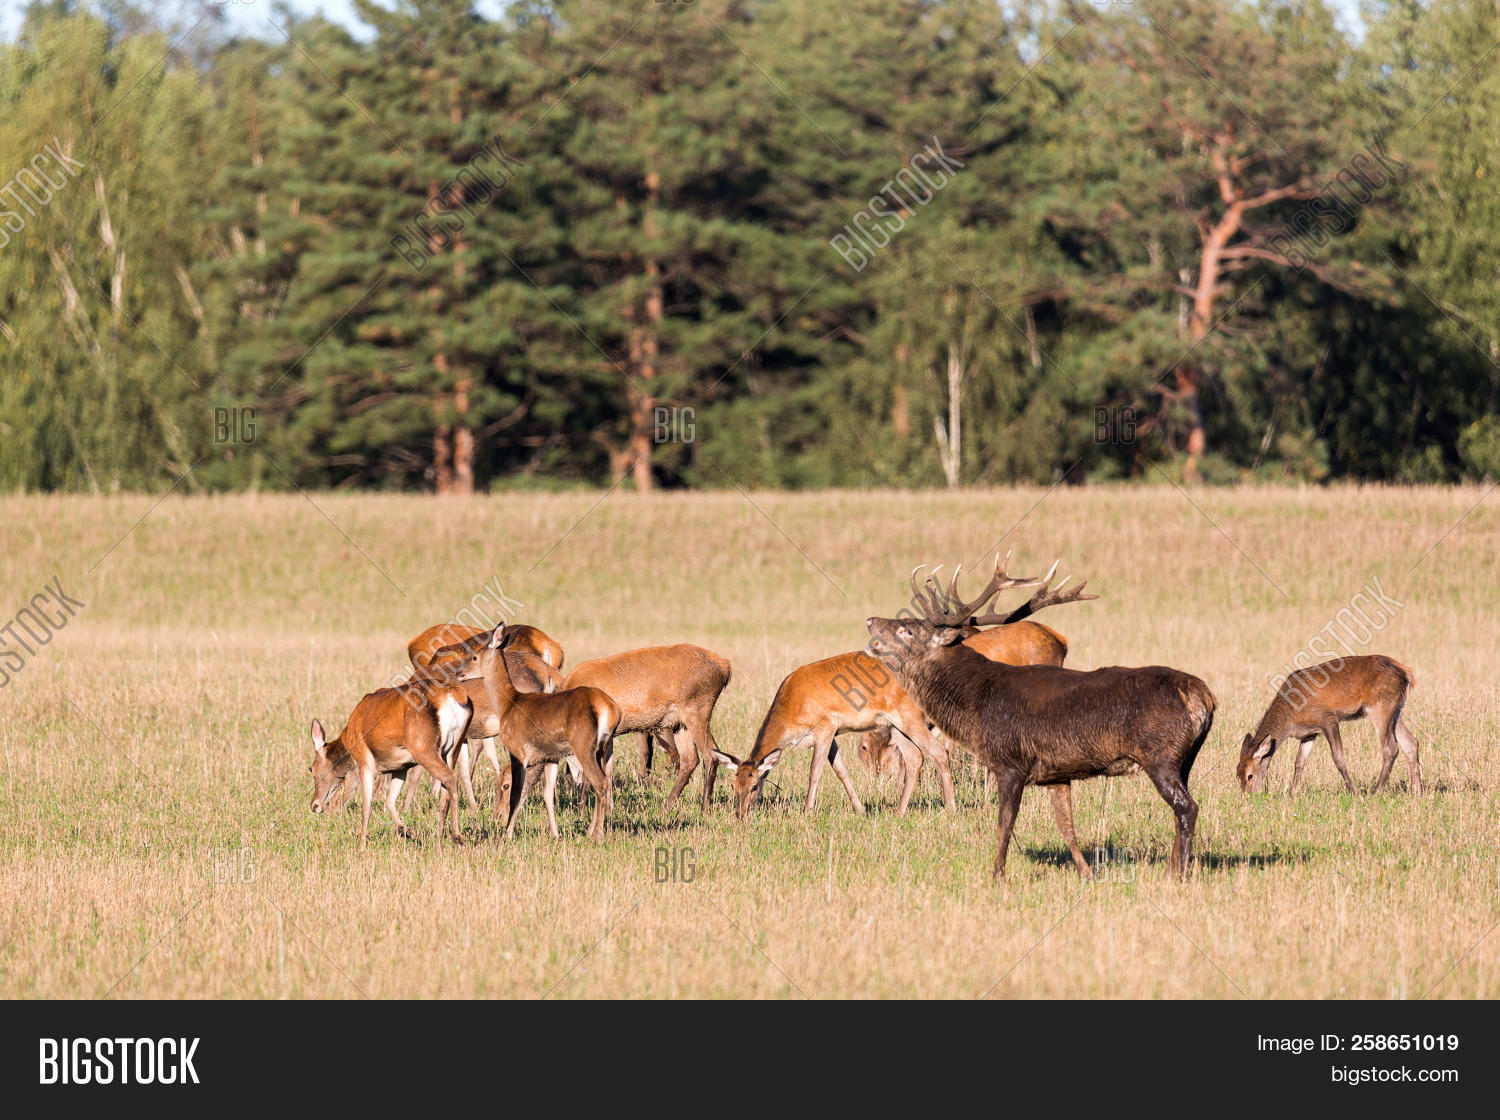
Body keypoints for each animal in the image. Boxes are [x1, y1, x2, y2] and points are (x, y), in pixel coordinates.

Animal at [307, 679, 472, 849]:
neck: (348, 740)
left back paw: (457, 837)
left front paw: (361, 847)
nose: (314, 805)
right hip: (454, 747)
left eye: (311, 768)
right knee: (445, 791)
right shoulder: (401, 767)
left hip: (423, 748)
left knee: (451, 777)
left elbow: (367, 806)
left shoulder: (364, 760)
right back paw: (439, 842)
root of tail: (455, 696)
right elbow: (390, 801)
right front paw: (407, 831)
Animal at [455, 625, 621, 840]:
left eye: (474, 657)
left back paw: (596, 834)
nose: (458, 673)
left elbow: (517, 793)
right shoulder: (551, 757)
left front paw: (506, 835)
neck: (508, 704)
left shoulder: (518, 751)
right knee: (603, 780)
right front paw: (555, 834)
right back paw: (592, 830)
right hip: (603, 747)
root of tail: (610, 709)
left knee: (599, 782)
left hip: (584, 747)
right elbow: (547, 794)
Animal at [563, 645, 732, 811]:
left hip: (697, 711)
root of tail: (725, 667)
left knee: (710, 755)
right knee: (690, 759)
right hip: (680, 724)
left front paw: (582, 809)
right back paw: (666, 807)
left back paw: (703, 808)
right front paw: (608, 810)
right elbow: (608, 771)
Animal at [865, 552, 1215, 880]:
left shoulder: (1011, 762)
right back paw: (1171, 868)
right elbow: (1067, 826)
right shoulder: (1057, 773)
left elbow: (1005, 824)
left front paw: (997, 875)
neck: (975, 704)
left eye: (907, 629)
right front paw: (1086, 872)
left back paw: (1178, 874)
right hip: (1184, 759)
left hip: (1160, 754)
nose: (869, 619)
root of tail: (1203, 696)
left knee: (1187, 807)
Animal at [1237, 654, 1420, 795]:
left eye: (1250, 775)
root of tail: (1407, 674)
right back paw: (1416, 792)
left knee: (1391, 748)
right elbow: (1299, 762)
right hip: (1395, 709)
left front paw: (1353, 792)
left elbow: (1338, 758)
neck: (1290, 718)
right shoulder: (1309, 733)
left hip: (1380, 705)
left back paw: (1376, 791)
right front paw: (1291, 794)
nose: (1248, 795)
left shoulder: (1328, 719)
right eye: (1237, 773)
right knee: (1411, 743)